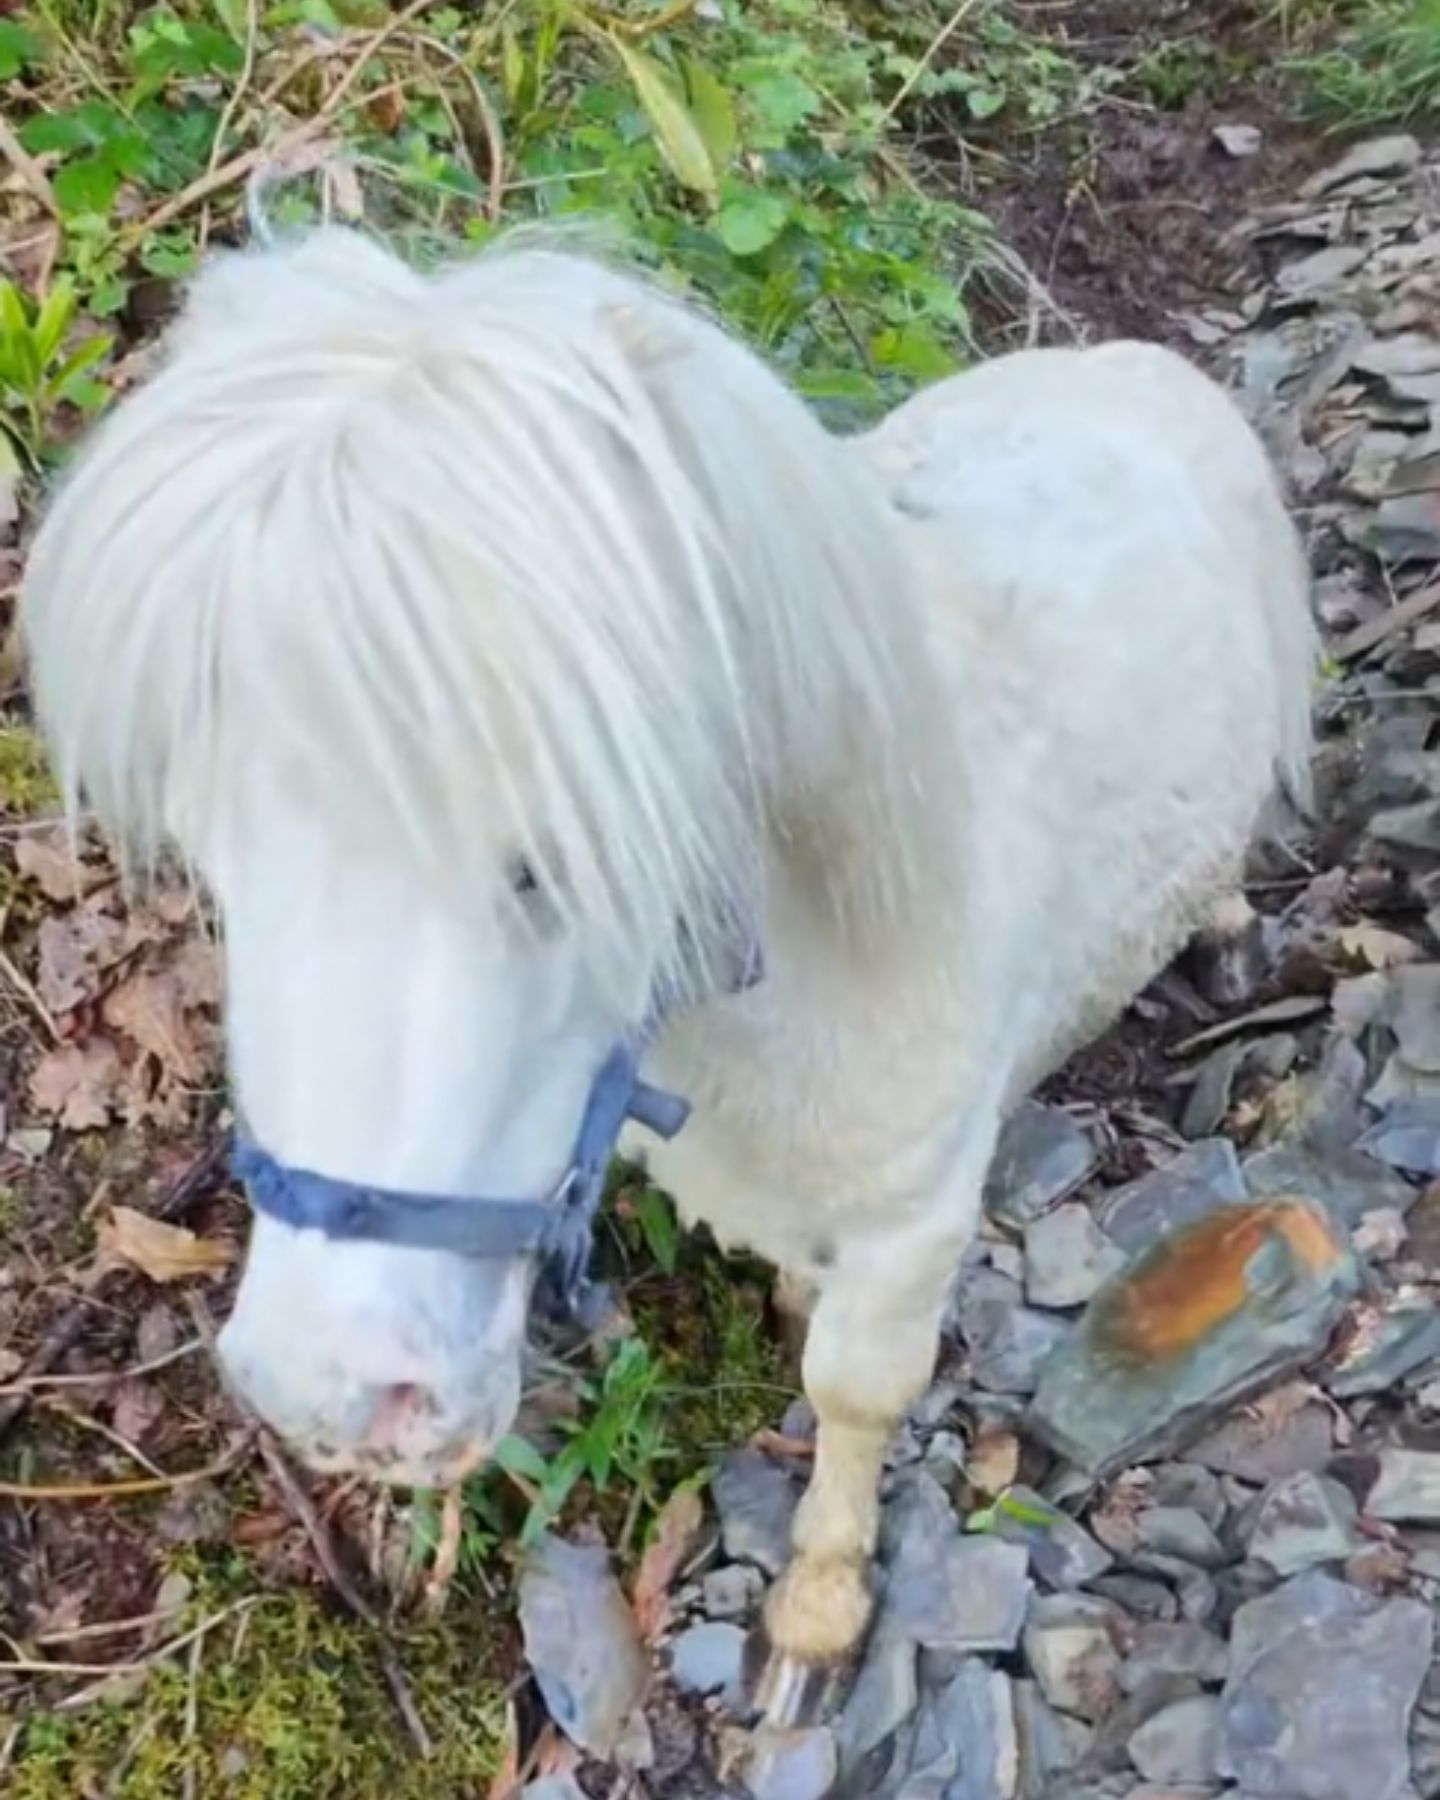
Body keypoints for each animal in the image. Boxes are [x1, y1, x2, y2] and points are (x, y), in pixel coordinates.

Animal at [21, 225, 1314, 1719]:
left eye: (554, 856)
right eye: (217, 863)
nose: (330, 1397)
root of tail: (1133, 363)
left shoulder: (921, 1217)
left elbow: (857, 1392)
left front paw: (815, 1622)